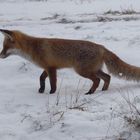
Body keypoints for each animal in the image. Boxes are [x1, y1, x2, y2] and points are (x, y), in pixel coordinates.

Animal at [0, 29, 139, 95]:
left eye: (5, 47)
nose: (0, 55)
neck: (33, 48)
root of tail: (101, 46)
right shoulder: (48, 67)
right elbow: (41, 78)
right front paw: (41, 89)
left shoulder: (51, 68)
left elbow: (53, 83)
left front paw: (51, 93)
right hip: (94, 70)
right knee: (107, 77)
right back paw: (103, 90)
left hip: (83, 71)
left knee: (97, 80)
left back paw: (90, 92)